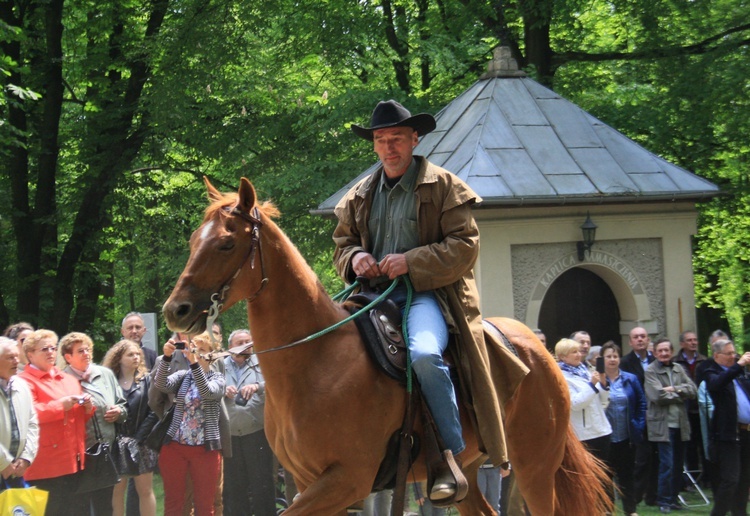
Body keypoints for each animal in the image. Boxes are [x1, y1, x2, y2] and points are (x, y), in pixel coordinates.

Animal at [163, 178, 612, 516]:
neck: (315, 364)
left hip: (535, 468)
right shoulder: (310, 481)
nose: (175, 310)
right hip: (474, 474)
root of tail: (541, 352)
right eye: (193, 240)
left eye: (226, 243)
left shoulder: (346, 481)